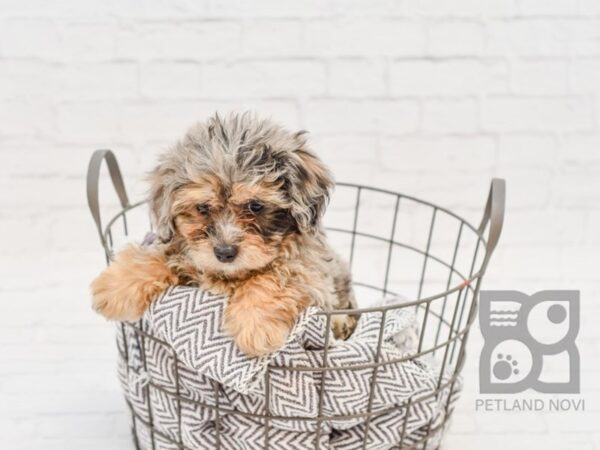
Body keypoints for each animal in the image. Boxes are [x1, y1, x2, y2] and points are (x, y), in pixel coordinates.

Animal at [91, 113, 358, 358]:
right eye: (203, 208)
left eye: (255, 206)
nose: (224, 252)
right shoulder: (186, 250)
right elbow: (161, 254)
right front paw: (115, 286)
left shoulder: (311, 273)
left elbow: (277, 274)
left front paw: (254, 325)